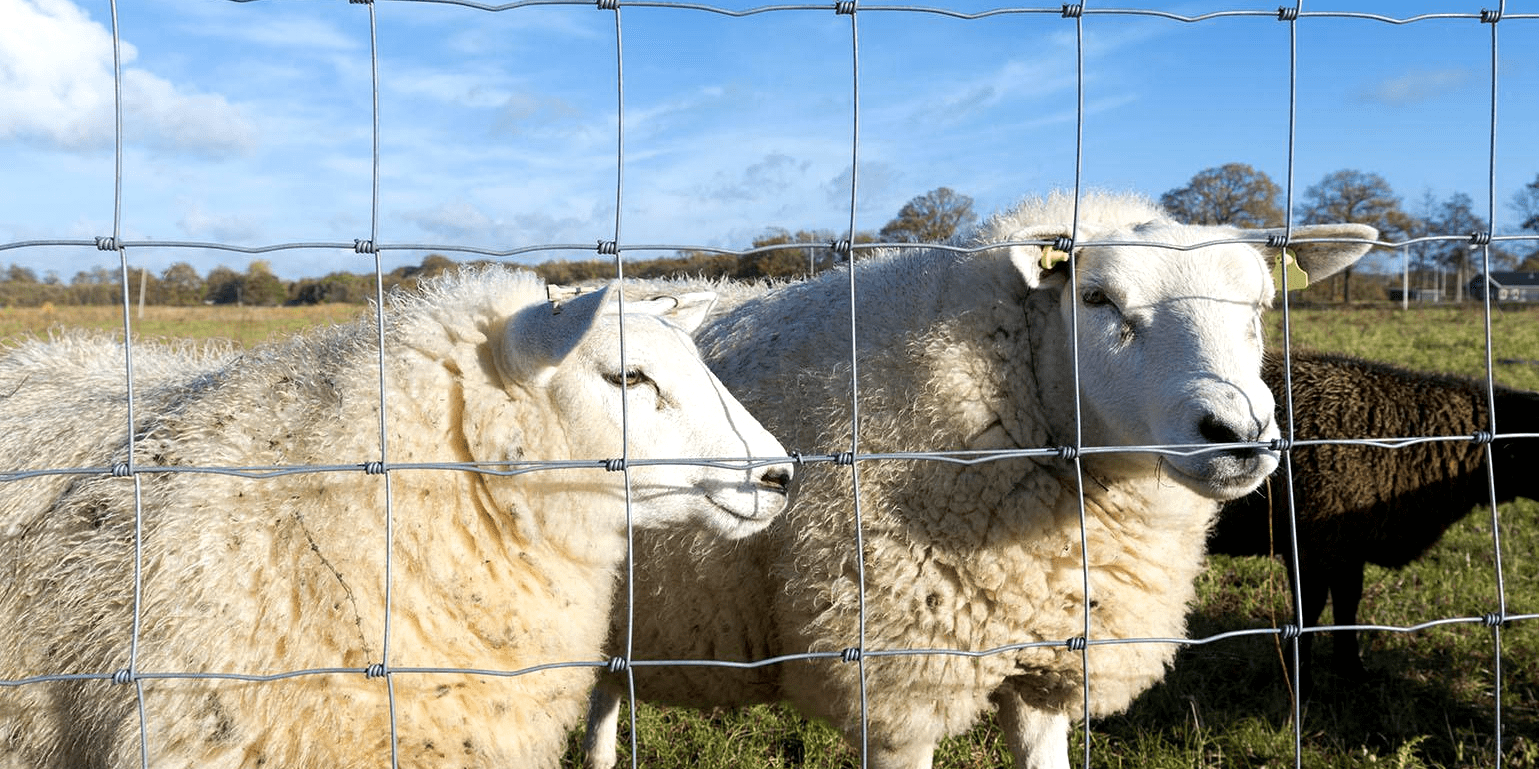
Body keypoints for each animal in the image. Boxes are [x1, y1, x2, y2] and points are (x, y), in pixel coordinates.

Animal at [1206, 352, 1532, 695]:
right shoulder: (1314, 544)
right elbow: (1309, 610)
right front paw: (1301, 682)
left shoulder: (1349, 546)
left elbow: (1348, 603)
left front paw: (1352, 669)